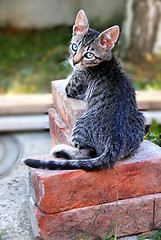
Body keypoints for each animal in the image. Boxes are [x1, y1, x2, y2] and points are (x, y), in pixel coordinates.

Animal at [24, 9, 145, 171]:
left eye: (89, 55)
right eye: (74, 47)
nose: (74, 62)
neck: (106, 60)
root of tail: (115, 145)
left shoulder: (72, 87)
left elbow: (68, 80)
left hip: (80, 124)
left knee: (88, 152)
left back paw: (60, 150)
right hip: (140, 119)